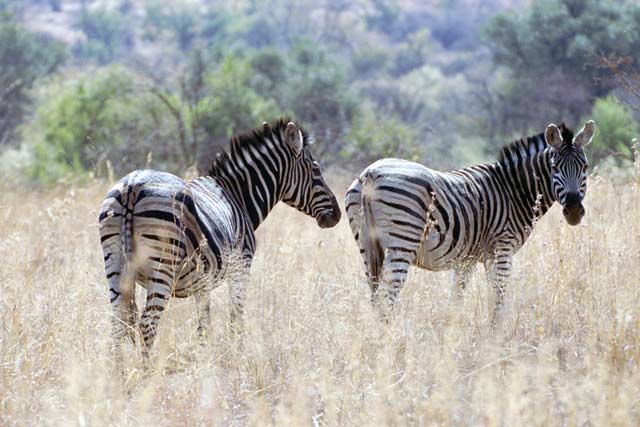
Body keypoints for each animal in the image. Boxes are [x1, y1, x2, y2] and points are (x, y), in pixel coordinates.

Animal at [99, 118, 341, 353]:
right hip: (163, 265)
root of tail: (132, 186)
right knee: (147, 324)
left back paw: (120, 368)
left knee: (119, 323)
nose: (337, 215)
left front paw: (202, 358)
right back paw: (145, 367)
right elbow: (236, 319)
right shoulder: (241, 267)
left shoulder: (202, 282)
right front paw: (235, 356)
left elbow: (204, 325)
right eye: (316, 170)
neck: (238, 196)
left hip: (114, 263)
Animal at [345, 120, 595, 317]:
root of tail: (371, 173)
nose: (574, 210)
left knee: (375, 294)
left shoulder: (467, 259)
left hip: (367, 244)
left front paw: (452, 331)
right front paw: (496, 334)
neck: (513, 189)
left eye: (585, 166)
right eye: (555, 168)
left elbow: (456, 298)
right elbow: (498, 296)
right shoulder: (501, 248)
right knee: (387, 295)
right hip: (402, 241)